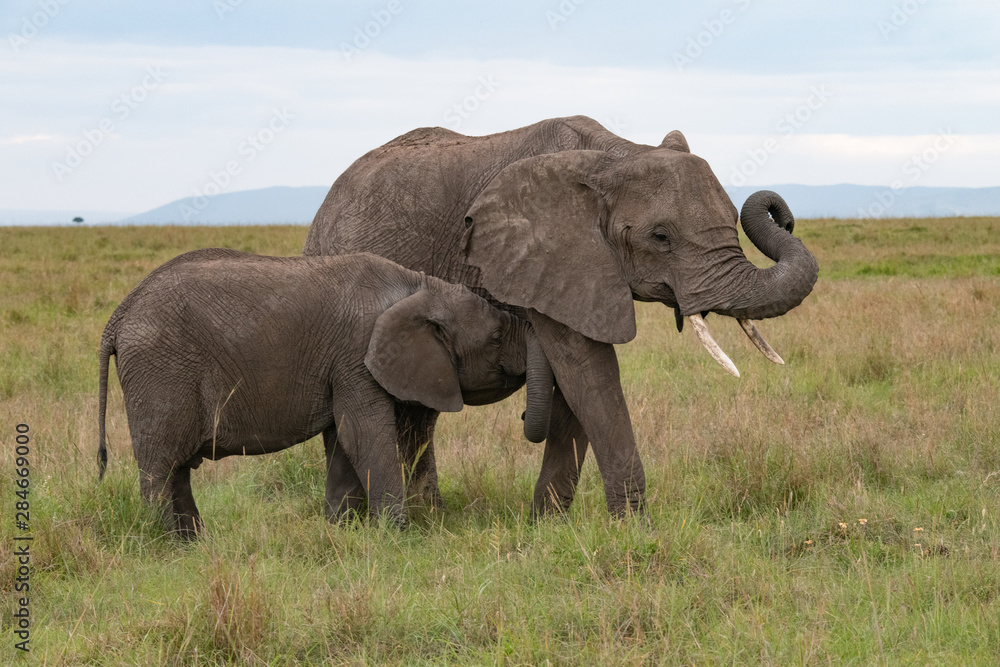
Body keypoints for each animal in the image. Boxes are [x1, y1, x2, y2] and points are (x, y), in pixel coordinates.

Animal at [97, 248, 552, 536]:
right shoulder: (357, 358)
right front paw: (398, 536)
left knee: (175, 469)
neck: (419, 286)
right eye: (496, 338)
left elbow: (342, 440)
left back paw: (193, 544)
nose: (523, 416)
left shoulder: (342, 367)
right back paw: (165, 543)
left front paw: (340, 532)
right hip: (159, 371)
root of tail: (118, 314)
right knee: (160, 465)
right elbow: (364, 435)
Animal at [306, 115, 820, 516]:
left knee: (418, 410)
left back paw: (429, 514)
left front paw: (546, 525)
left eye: (733, 217)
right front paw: (633, 529)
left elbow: (579, 387)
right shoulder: (545, 255)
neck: (616, 155)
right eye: (660, 237)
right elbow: (587, 373)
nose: (781, 213)